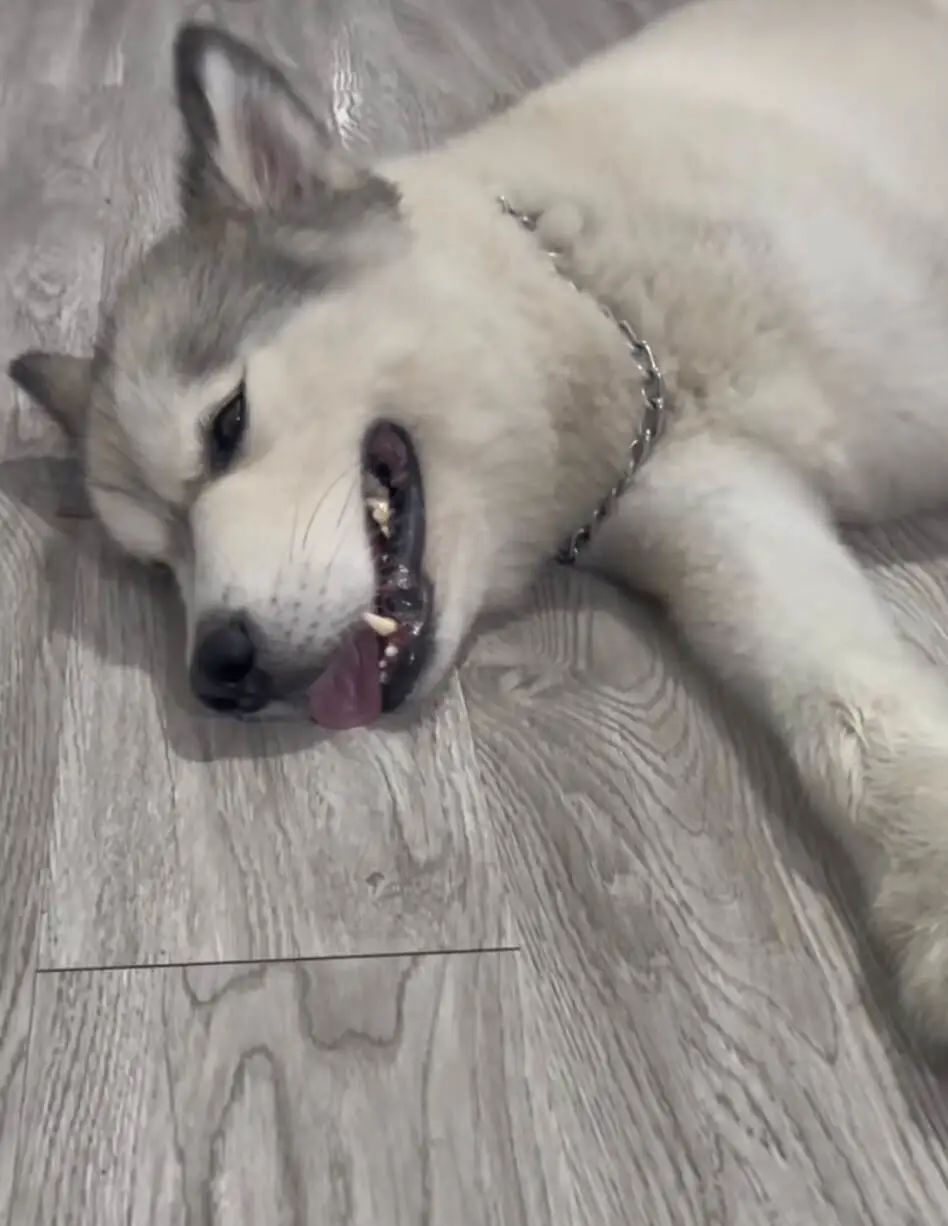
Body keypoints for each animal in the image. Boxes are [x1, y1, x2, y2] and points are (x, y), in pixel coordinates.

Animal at [11, 0, 948, 1040]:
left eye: (227, 424)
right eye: (158, 563)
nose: (219, 670)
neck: (601, 314)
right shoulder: (714, 505)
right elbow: (849, 708)